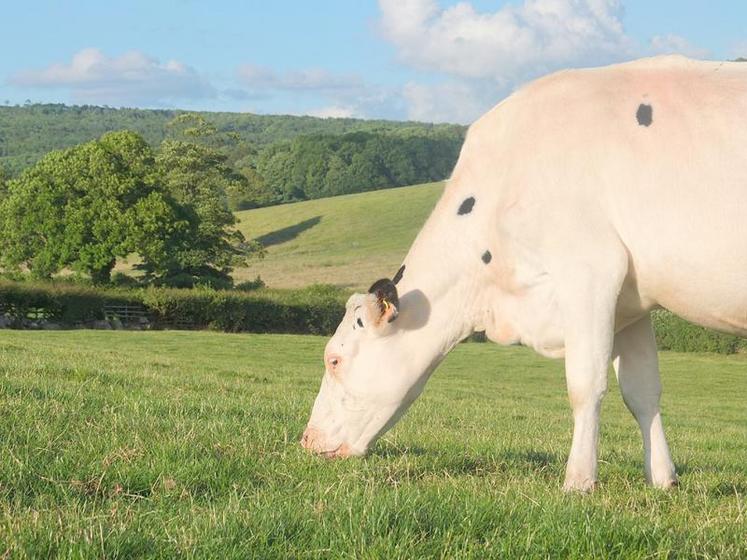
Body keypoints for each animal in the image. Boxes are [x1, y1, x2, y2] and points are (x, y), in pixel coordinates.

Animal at [300, 55, 747, 490]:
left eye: (334, 359)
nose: (306, 440)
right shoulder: (630, 300)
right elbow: (642, 392)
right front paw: (662, 479)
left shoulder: (590, 270)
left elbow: (585, 384)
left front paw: (578, 481)